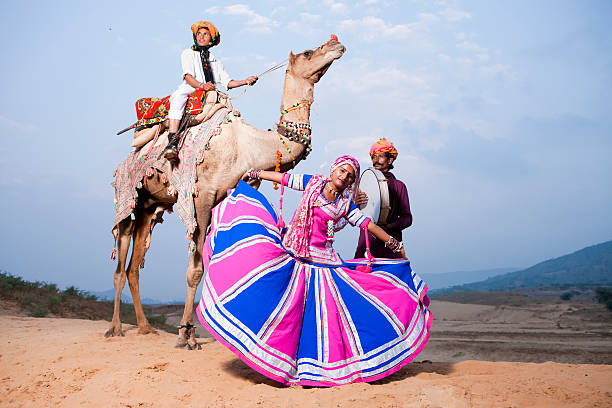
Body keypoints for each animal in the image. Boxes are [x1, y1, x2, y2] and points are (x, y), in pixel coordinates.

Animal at [105, 39, 344, 350]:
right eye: (308, 53)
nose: (336, 43)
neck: (249, 146)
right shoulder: (201, 196)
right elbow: (195, 269)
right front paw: (186, 336)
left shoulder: (225, 195)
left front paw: (193, 332)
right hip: (126, 197)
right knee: (120, 264)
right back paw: (115, 328)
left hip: (149, 206)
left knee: (134, 266)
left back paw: (146, 328)